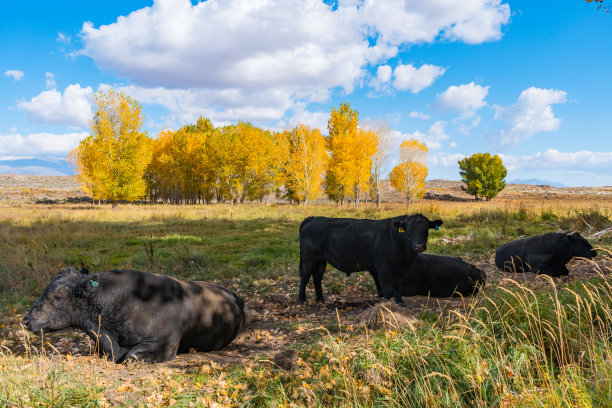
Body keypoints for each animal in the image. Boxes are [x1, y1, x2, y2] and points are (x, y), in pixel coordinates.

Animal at [298, 215, 442, 304]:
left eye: (426, 230)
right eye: (408, 230)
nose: (419, 246)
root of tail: (314, 218)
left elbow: (394, 286)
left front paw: (399, 303)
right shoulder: (384, 268)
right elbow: (387, 286)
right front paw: (388, 304)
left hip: (320, 260)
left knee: (317, 277)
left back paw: (320, 299)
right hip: (308, 258)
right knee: (305, 275)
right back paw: (302, 299)